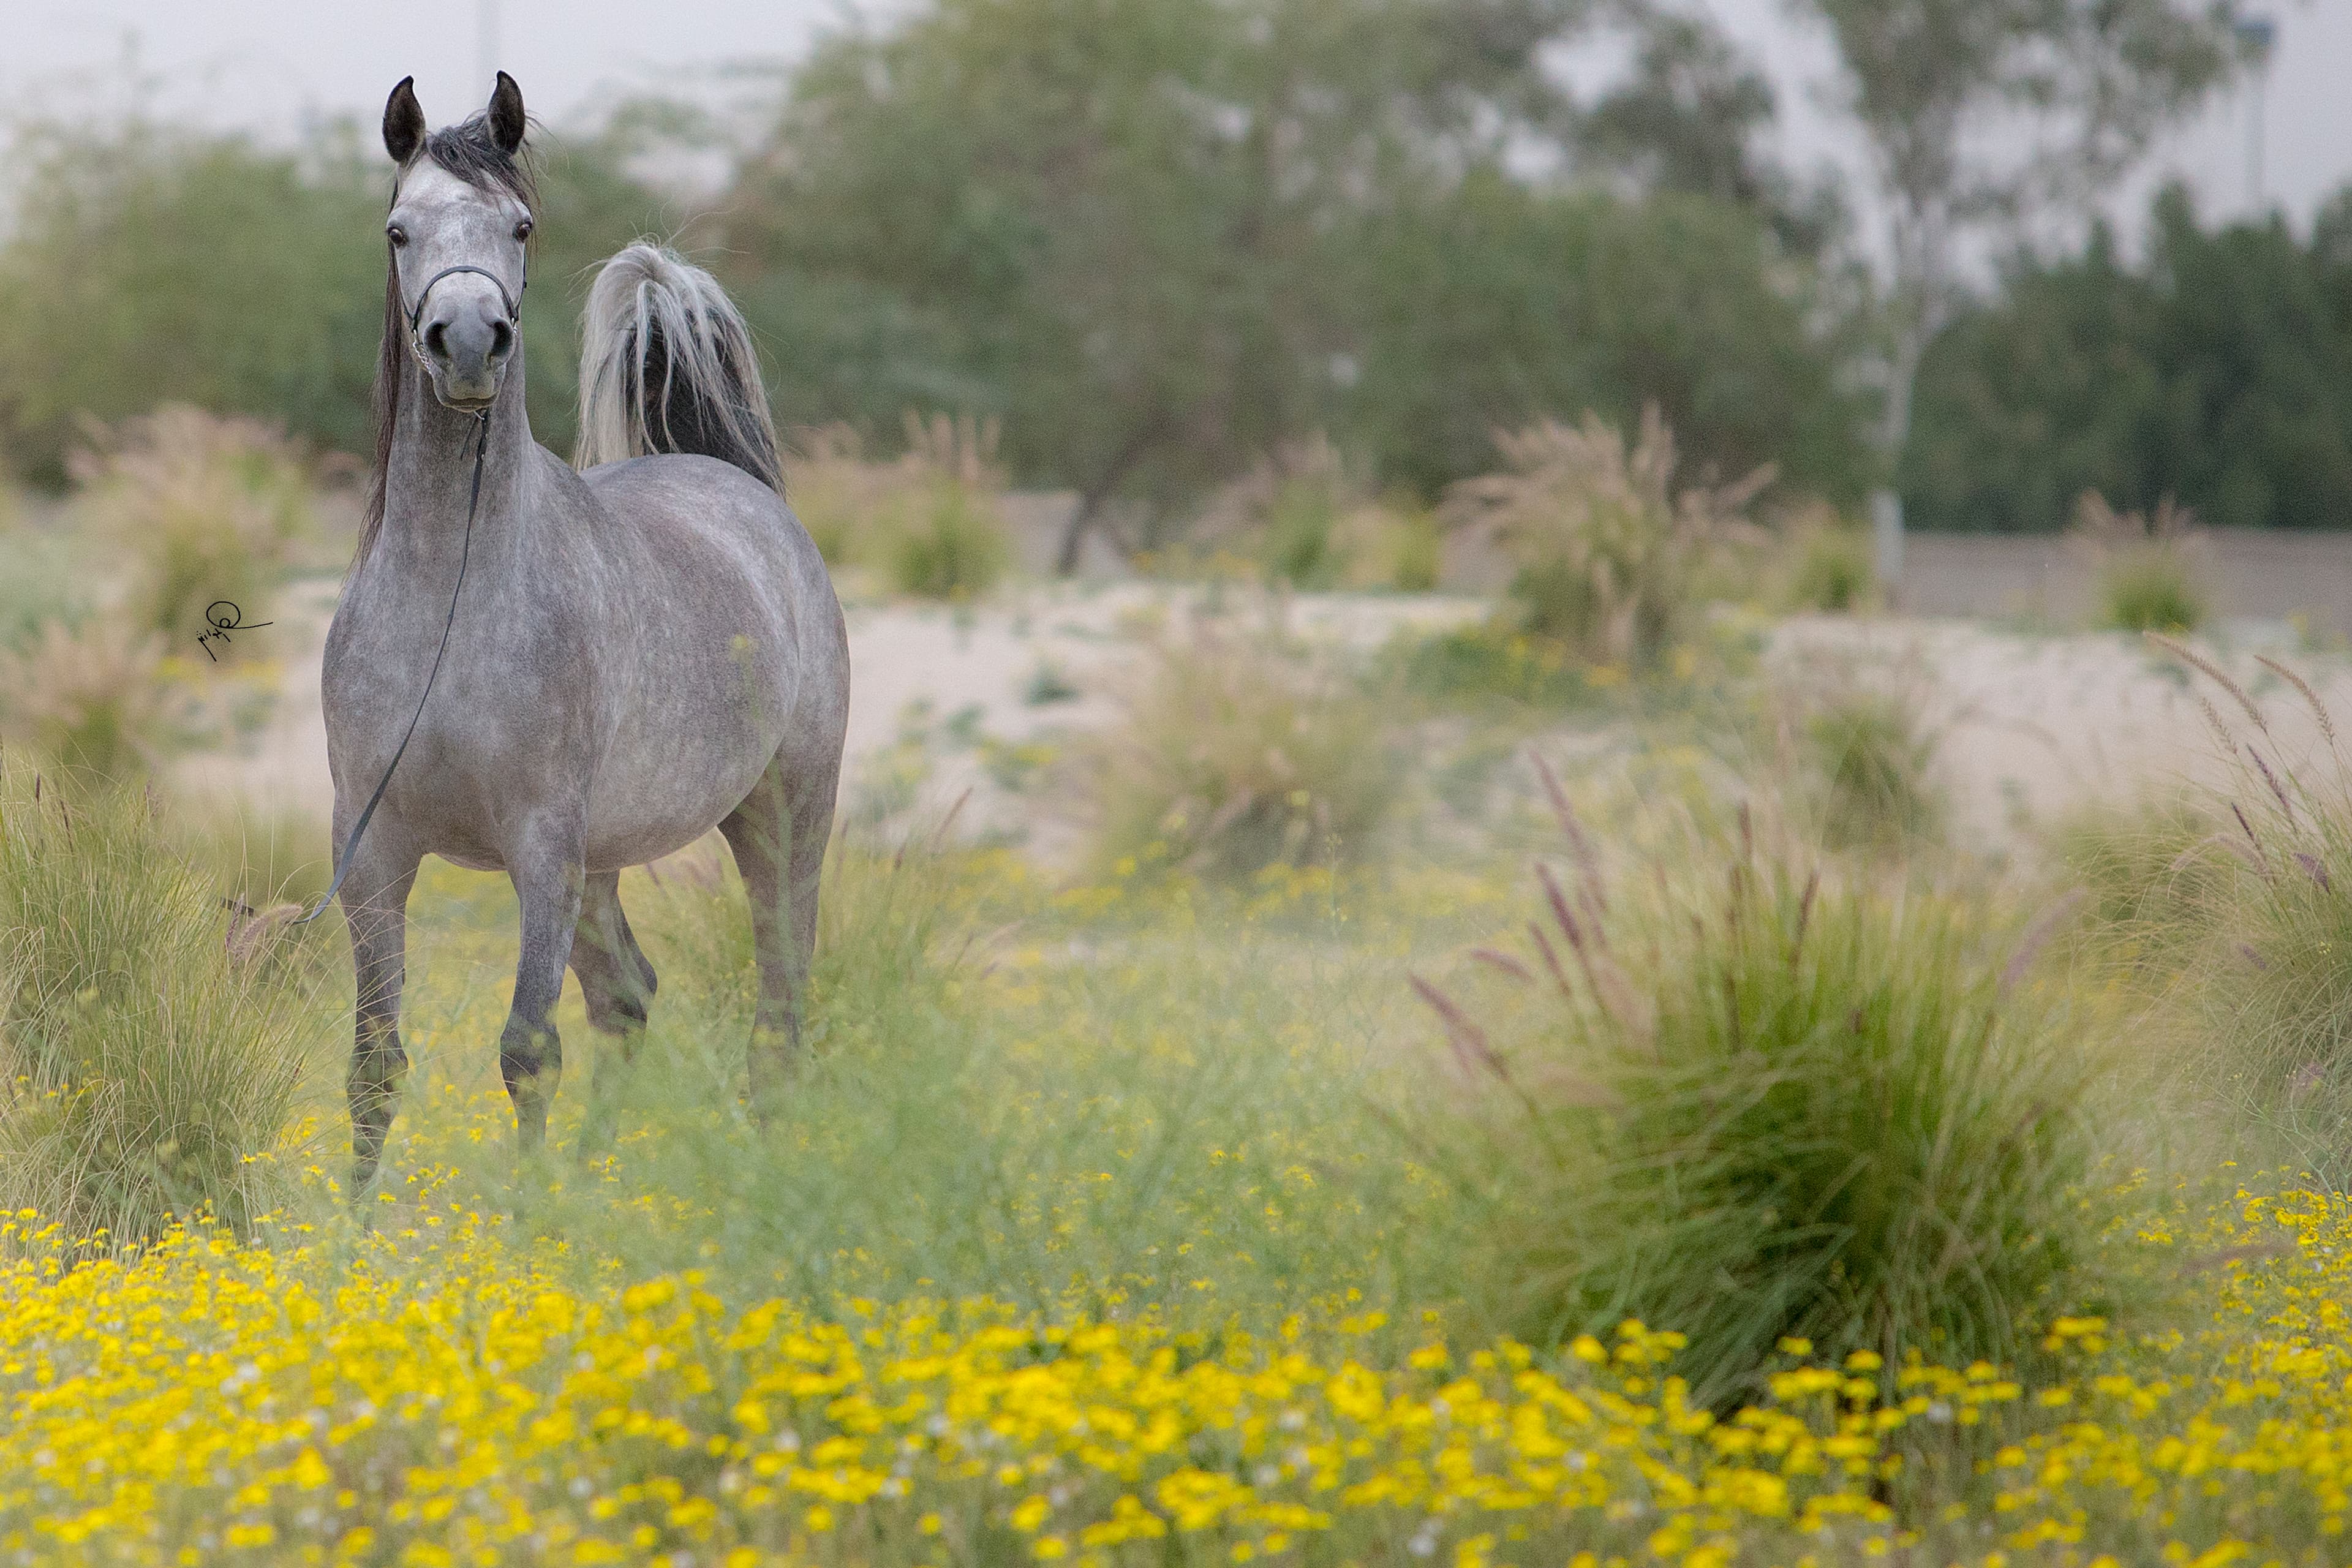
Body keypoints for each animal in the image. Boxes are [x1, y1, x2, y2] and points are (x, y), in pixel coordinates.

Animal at [320, 72, 849, 1192]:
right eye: (398, 230)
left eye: (520, 226)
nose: (466, 342)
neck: (451, 604)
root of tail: (737, 489)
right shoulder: (374, 850)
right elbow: (375, 1062)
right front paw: (352, 1226)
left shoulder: (540, 849)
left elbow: (528, 1050)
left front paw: (530, 1221)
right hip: (605, 864)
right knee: (630, 999)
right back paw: (599, 1189)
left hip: (782, 818)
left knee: (779, 1010)